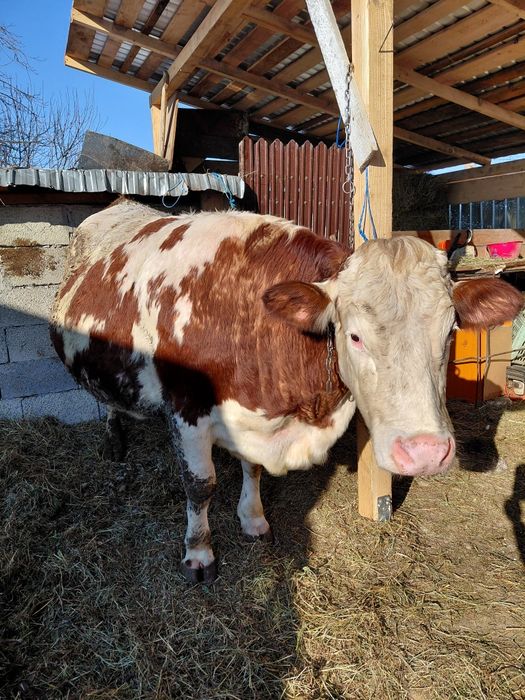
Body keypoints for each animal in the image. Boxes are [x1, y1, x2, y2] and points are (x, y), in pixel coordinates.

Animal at [50, 199, 523, 583]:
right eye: (354, 336)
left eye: (450, 332)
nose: (425, 452)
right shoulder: (186, 407)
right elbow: (200, 484)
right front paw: (199, 552)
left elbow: (253, 468)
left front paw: (254, 520)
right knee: (106, 401)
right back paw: (114, 439)